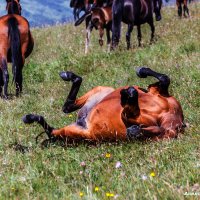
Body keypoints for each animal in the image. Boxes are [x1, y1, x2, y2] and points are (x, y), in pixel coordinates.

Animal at [22, 67, 186, 144]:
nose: (132, 131)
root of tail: (82, 120)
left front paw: (128, 93)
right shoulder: (159, 94)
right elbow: (164, 78)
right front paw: (140, 75)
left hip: (74, 133)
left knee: (54, 126)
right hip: (102, 90)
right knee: (67, 106)